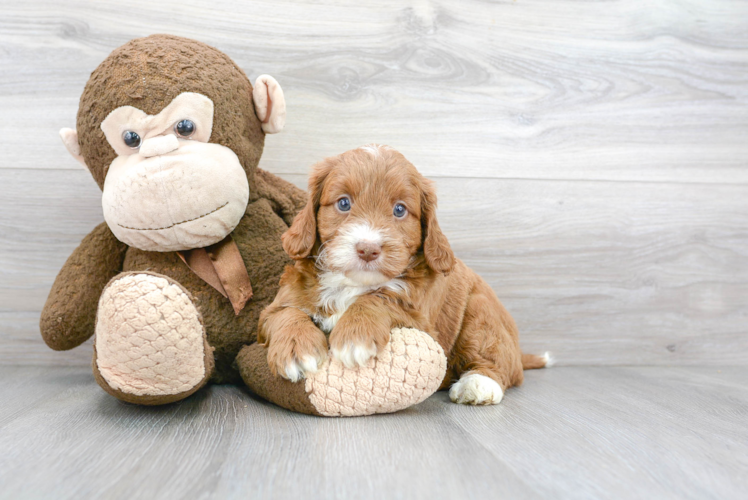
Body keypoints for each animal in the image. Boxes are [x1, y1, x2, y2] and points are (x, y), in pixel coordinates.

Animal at [260, 146, 548, 406]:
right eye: (343, 203)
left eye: (399, 209)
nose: (368, 249)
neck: (353, 284)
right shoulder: (276, 306)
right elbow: (284, 313)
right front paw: (296, 350)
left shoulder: (420, 320)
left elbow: (380, 299)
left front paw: (355, 336)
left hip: (482, 313)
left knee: (497, 360)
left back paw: (477, 385)